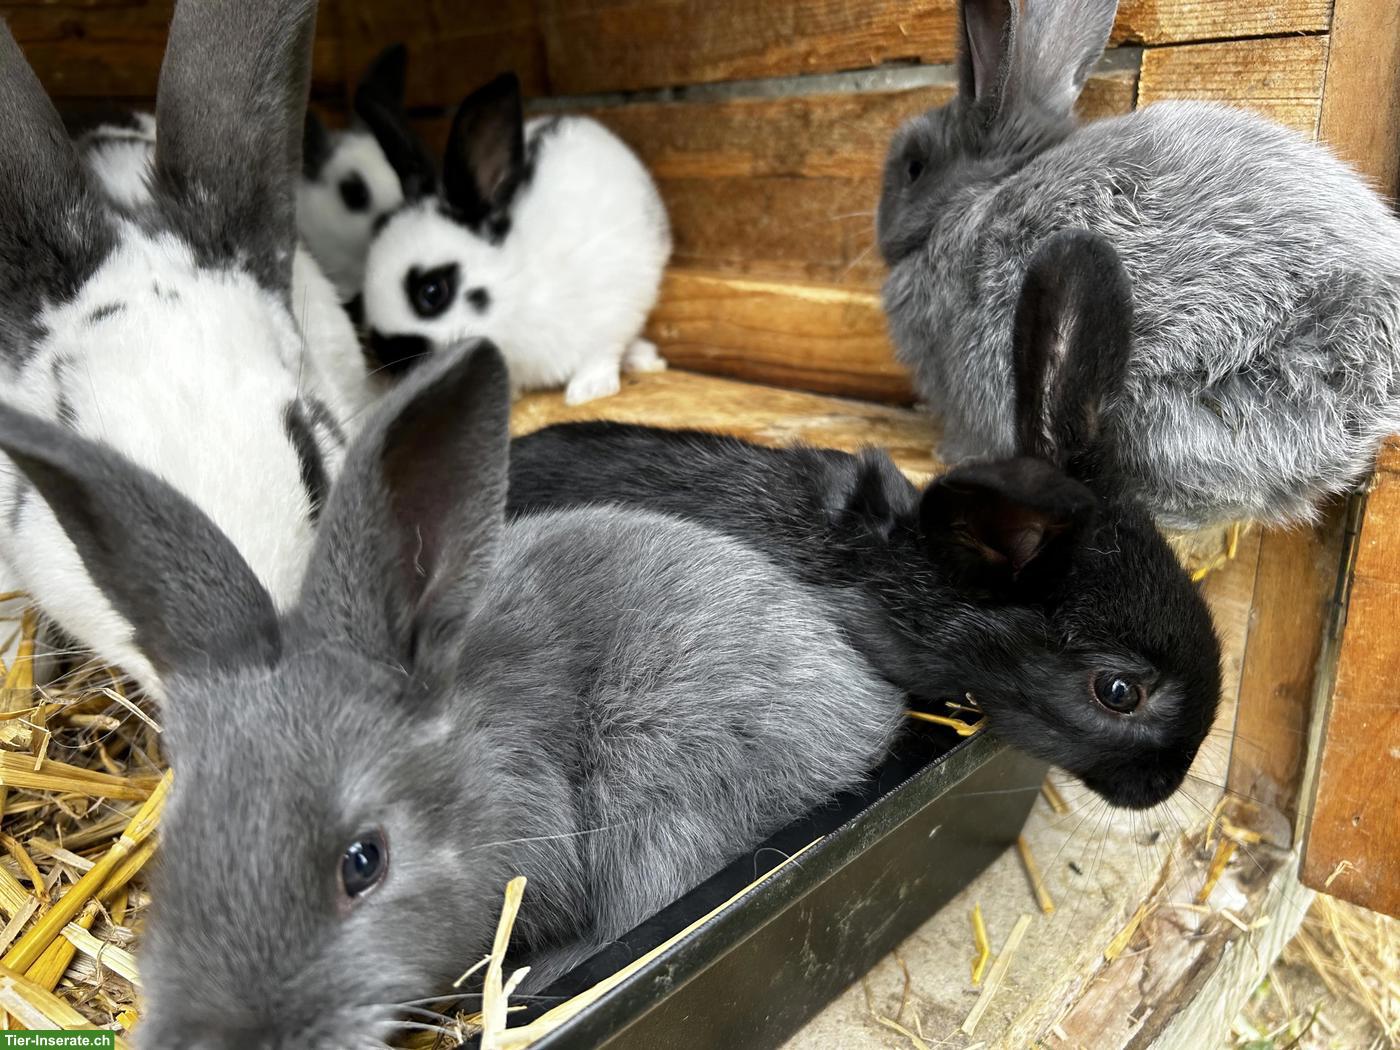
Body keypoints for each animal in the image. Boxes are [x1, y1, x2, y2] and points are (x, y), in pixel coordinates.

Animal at [359, 70, 672, 404]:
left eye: (432, 293)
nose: (388, 356)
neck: (518, 290)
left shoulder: (612, 308)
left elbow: (600, 353)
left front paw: (586, 391)